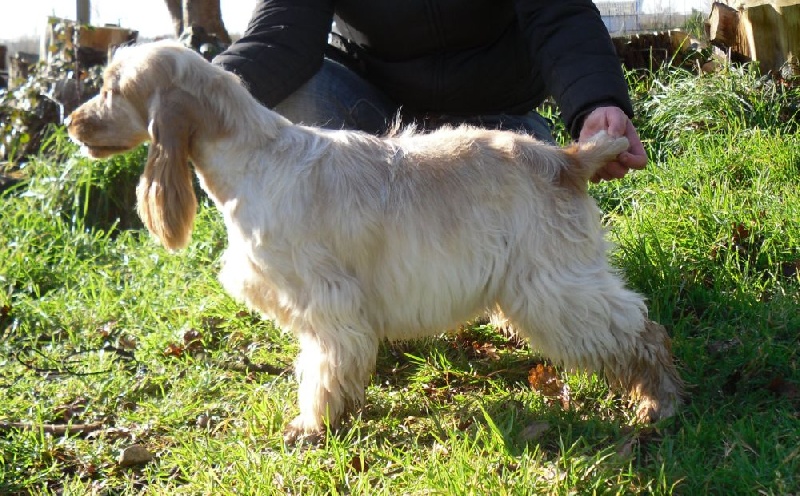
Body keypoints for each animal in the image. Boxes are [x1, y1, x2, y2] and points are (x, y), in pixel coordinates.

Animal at [66, 41, 682, 442]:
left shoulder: (328, 303)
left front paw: (313, 425)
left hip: (554, 288)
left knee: (642, 333)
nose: (72, 123)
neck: (252, 157)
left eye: (112, 89)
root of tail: (566, 160)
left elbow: (321, 369)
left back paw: (662, 402)